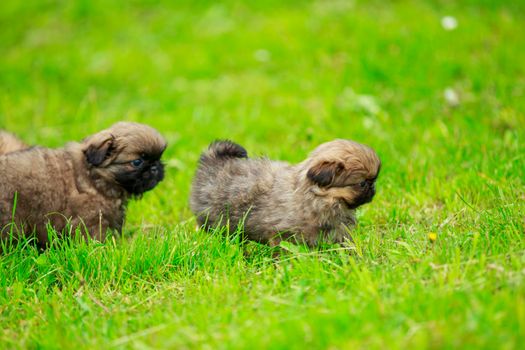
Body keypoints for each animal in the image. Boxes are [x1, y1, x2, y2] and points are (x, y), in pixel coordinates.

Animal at [190, 139, 378, 246]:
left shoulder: (337, 231)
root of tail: (213, 162)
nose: (373, 188)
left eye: (373, 180)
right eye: (362, 183)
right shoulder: (281, 233)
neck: (318, 196)